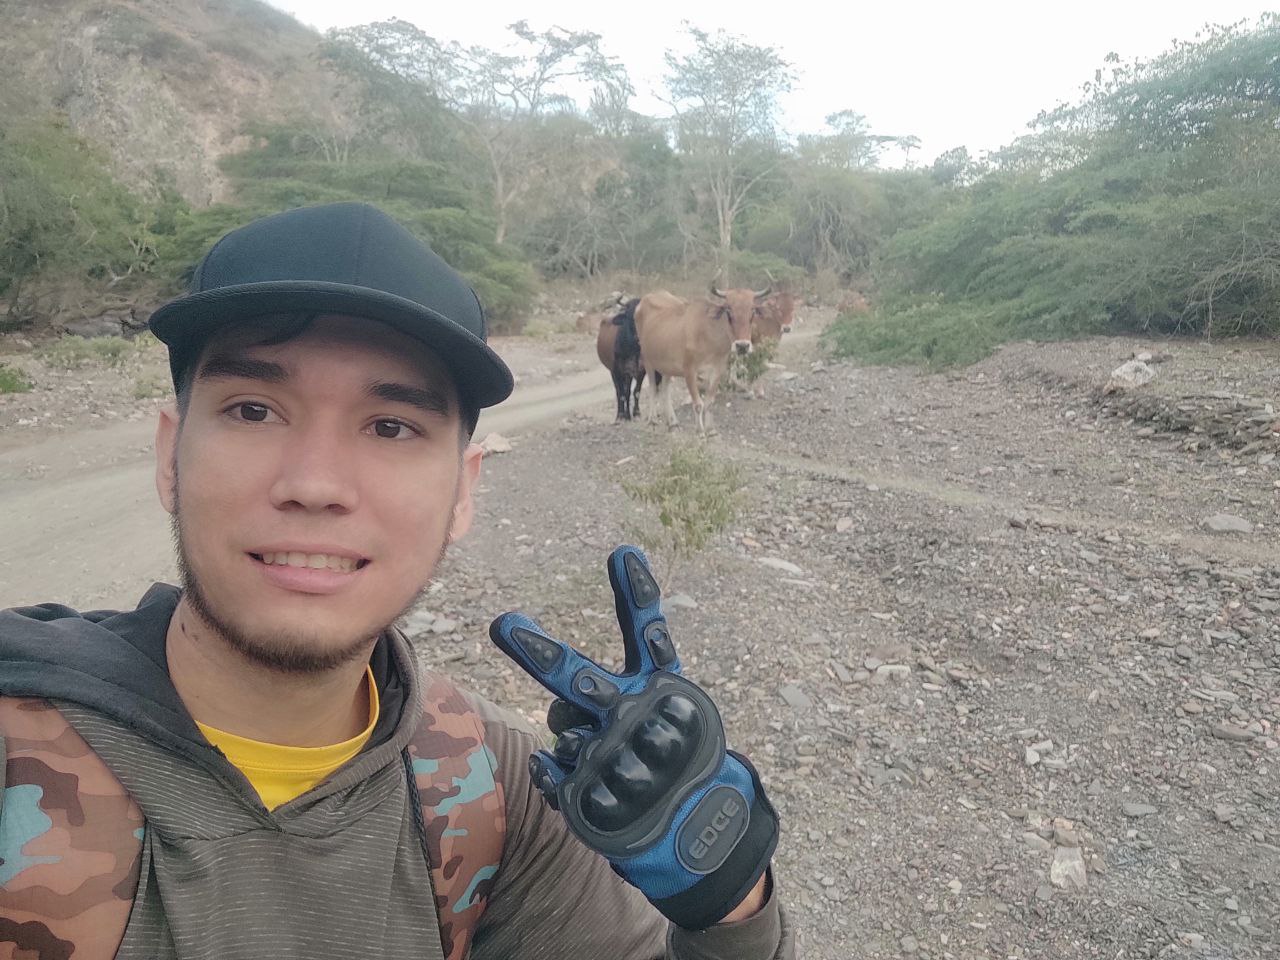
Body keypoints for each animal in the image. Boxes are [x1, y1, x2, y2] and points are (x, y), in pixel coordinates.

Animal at [632, 284, 762, 435]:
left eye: (752, 311)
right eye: (729, 310)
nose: (742, 346)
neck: (709, 335)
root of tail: (644, 300)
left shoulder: (717, 370)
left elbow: (710, 401)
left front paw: (710, 429)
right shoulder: (689, 371)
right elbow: (698, 403)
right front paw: (700, 431)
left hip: (667, 365)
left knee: (665, 388)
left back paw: (673, 422)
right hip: (648, 360)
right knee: (653, 388)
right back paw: (652, 420)